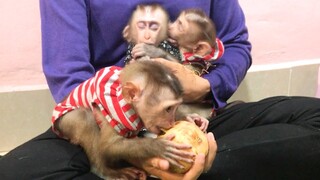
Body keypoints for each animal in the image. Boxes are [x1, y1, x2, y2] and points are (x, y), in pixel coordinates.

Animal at [52, 60, 196, 179]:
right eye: (168, 109)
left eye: (175, 108)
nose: (171, 122)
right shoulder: (114, 113)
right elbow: (108, 146)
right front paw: (158, 147)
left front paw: (189, 118)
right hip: (65, 122)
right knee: (84, 117)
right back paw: (106, 171)